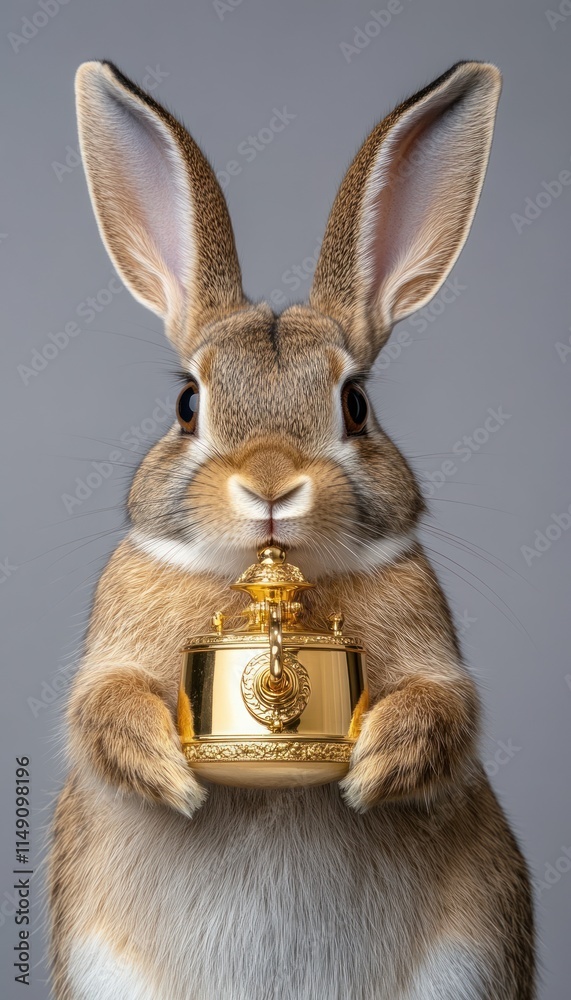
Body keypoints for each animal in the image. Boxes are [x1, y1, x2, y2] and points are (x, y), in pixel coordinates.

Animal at [48, 60, 536, 1000]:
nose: (271, 483)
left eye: (356, 404)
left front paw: (370, 769)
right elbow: (106, 707)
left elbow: (440, 708)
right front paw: (174, 775)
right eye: (186, 403)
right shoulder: (109, 652)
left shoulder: (434, 650)